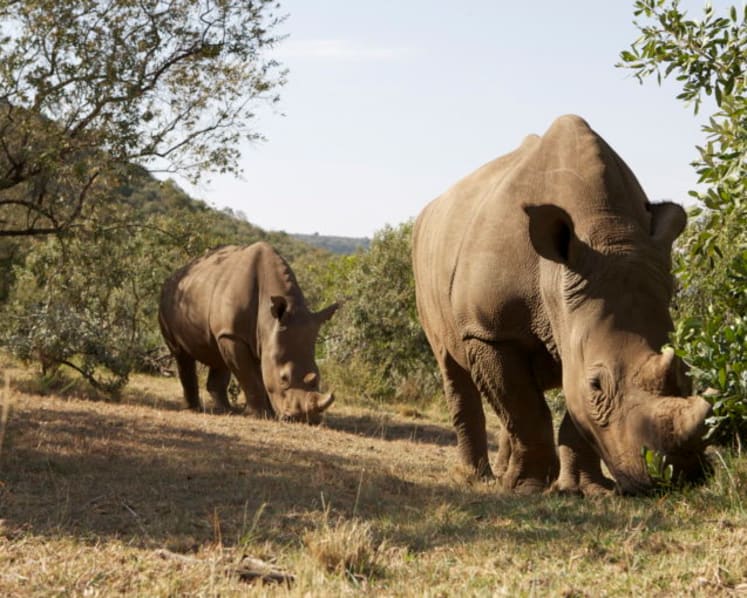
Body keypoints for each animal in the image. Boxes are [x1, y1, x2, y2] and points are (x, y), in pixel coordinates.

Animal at [159, 242, 339, 424]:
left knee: (218, 354)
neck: (269, 319)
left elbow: (261, 374)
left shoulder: (262, 338)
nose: (302, 418)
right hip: (169, 300)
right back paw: (194, 409)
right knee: (181, 355)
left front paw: (269, 413)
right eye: (283, 378)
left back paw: (226, 411)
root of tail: (171, 278)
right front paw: (259, 415)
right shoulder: (235, 336)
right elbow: (250, 376)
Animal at [412, 115, 712, 495]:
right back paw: (477, 477)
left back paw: (502, 471)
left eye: (687, 372)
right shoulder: (489, 329)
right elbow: (526, 408)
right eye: (597, 384)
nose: (679, 476)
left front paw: (588, 490)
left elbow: (568, 409)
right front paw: (527, 488)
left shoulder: (576, 324)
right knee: (453, 368)